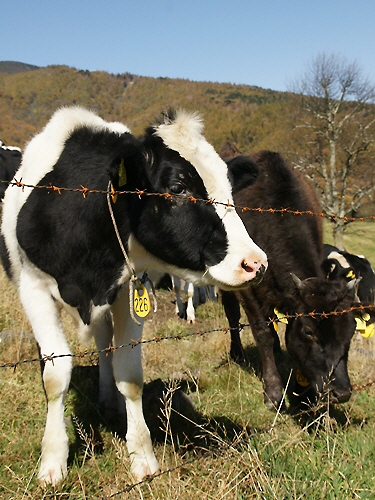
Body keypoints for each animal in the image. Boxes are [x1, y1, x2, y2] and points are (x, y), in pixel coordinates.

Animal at [0, 106, 270, 484]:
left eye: (231, 189)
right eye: (178, 187)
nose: (255, 263)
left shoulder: (130, 287)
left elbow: (129, 373)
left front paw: (142, 456)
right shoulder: (33, 287)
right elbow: (55, 375)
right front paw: (53, 461)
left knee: (104, 343)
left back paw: (108, 398)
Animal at [222, 150, 360, 412]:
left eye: (351, 331)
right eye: (308, 331)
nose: (341, 392)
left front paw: (303, 392)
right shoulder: (249, 291)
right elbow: (262, 332)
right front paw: (274, 392)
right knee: (232, 313)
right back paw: (237, 352)